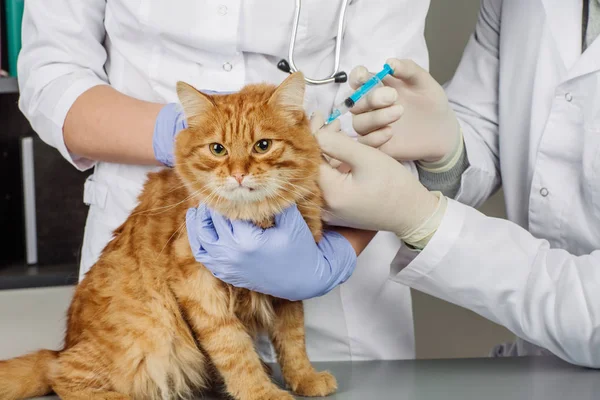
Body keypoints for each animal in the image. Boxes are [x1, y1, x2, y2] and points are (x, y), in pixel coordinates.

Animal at [0, 72, 338, 400]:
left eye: (263, 146)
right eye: (218, 149)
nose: (238, 174)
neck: (255, 217)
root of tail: (65, 344)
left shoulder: (290, 280)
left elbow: (293, 340)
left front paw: (305, 378)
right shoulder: (198, 285)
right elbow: (234, 349)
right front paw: (261, 392)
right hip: (150, 331)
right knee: (62, 374)